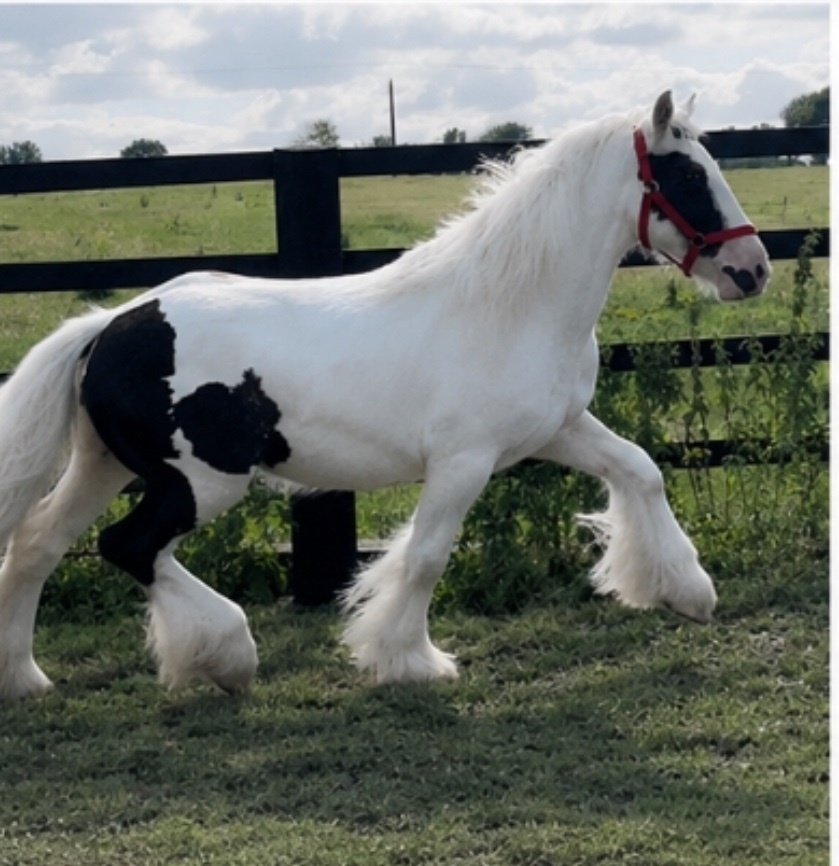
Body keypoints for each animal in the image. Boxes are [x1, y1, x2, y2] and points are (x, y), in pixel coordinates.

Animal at [0, 90, 770, 700]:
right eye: (687, 174)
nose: (752, 269)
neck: (508, 307)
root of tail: (110, 325)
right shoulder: (463, 461)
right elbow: (426, 556)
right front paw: (408, 661)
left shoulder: (558, 428)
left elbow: (641, 469)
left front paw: (685, 592)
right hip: (199, 482)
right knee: (130, 548)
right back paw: (228, 656)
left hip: (105, 465)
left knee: (40, 542)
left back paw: (26, 679)